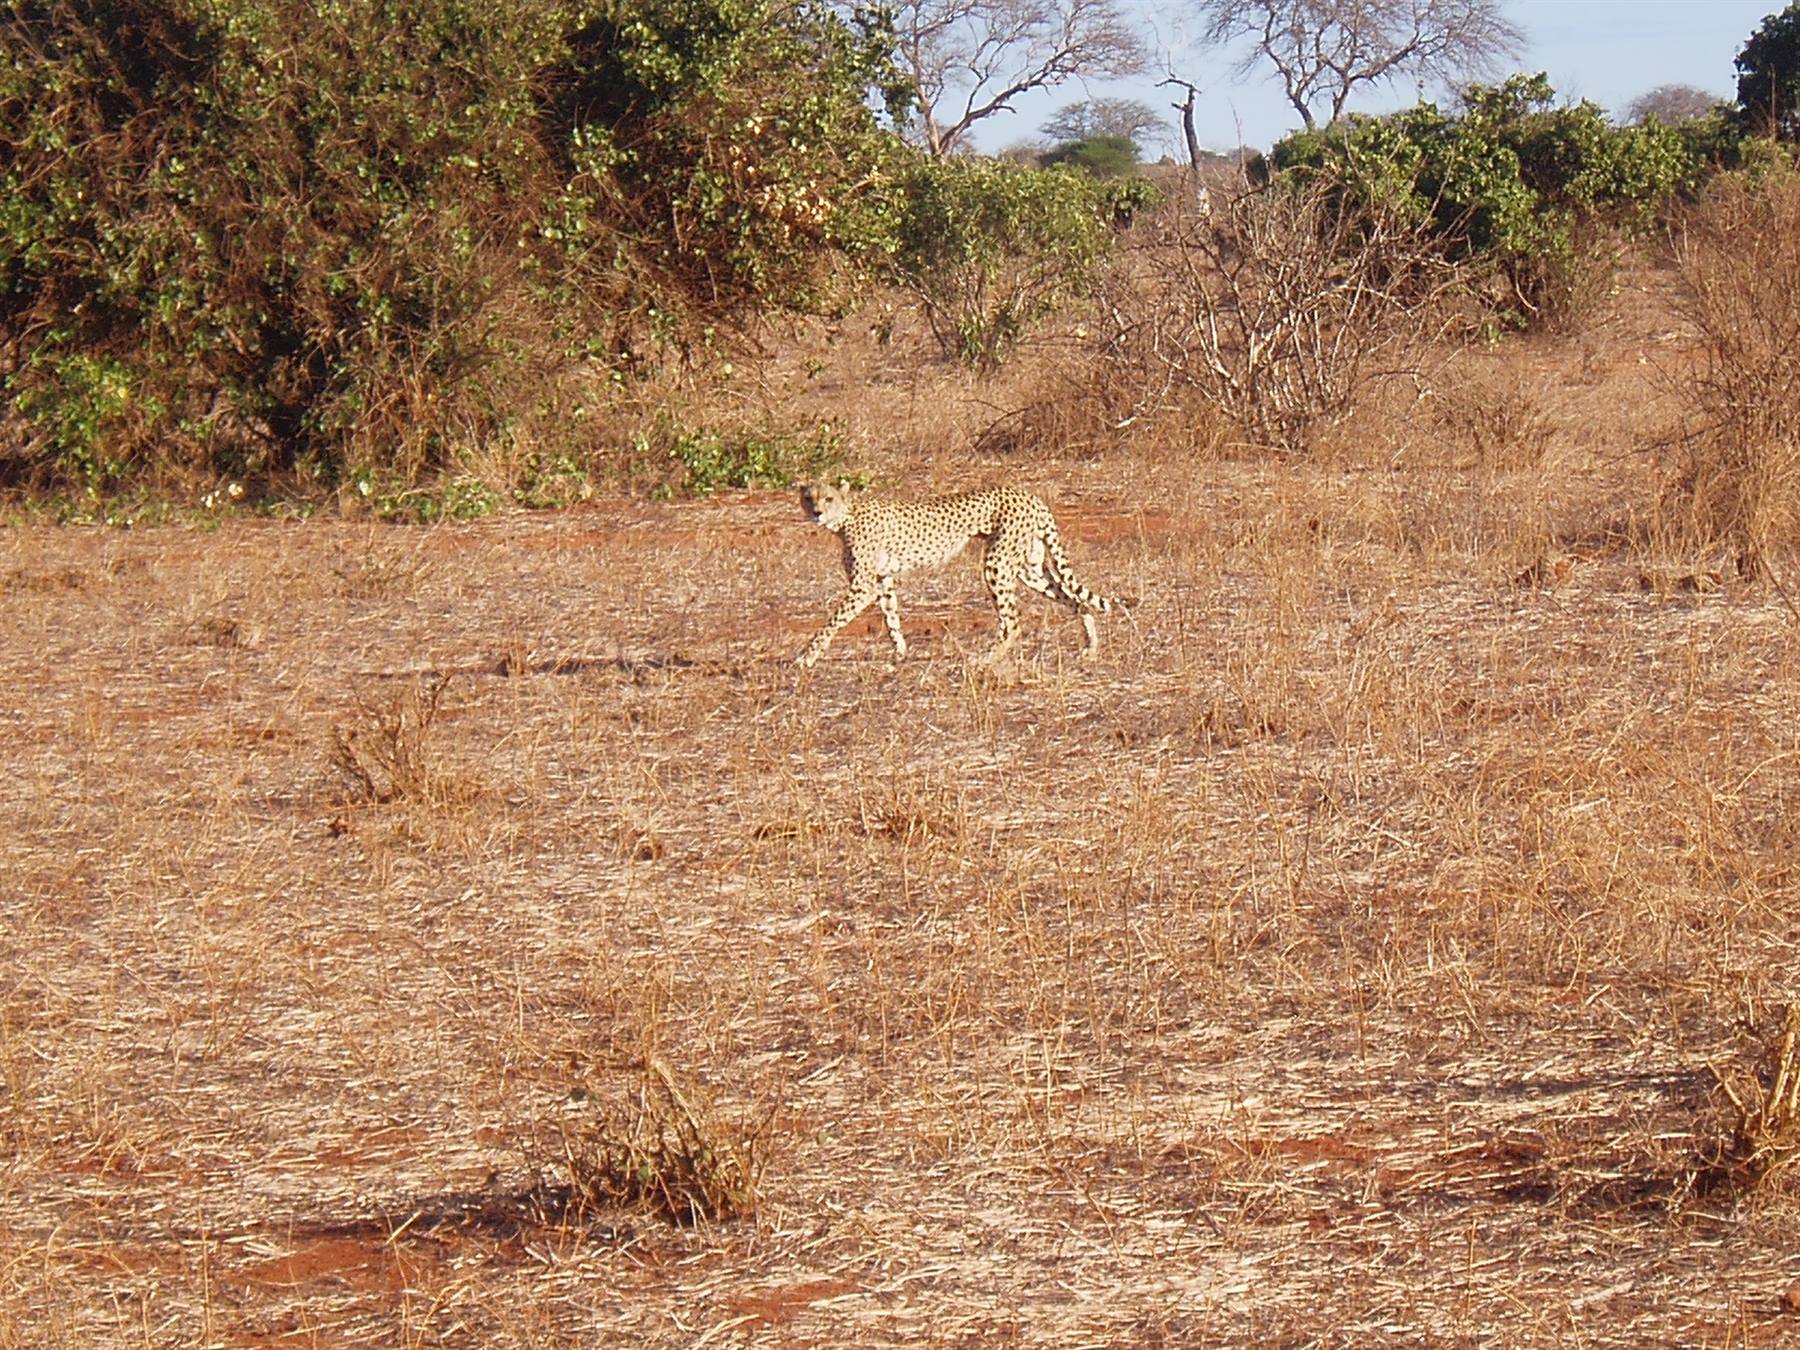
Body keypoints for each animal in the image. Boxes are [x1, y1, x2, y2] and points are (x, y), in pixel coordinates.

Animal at [795, 480, 1114, 669]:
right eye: (809, 498)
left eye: (828, 498)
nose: (816, 512)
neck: (847, 515)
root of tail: (1030, 495)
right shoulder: (883, 581)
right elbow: (891, 618)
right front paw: (900, 653)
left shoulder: (863, 586)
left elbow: (833, 621)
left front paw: (805, 656)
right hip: (1029, 568)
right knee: (1076, 601)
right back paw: (1091, 646)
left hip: (997, 563)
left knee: (1013, 622)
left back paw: (984, 659)